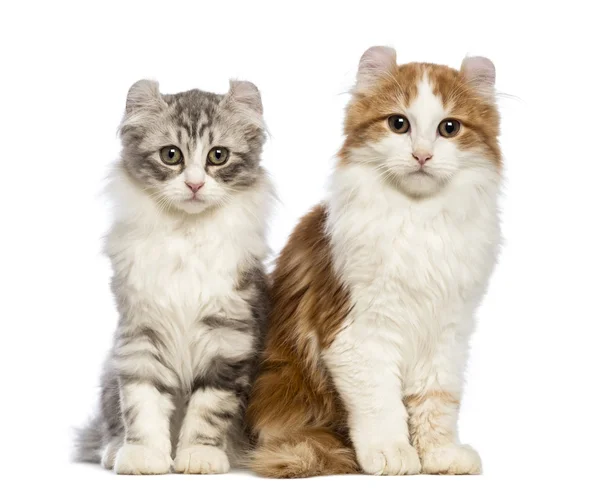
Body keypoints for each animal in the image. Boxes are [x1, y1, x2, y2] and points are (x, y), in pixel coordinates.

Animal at [76, 80, 274, 476]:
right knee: (110, 424)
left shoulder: (227, 338)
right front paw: (144, 456)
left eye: (218, 156)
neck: (186, 233)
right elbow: (142, 403)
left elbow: (209, 409)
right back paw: (113, 450)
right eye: (171, 155)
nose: (195, 184)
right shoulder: (140, 335)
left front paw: (199, 456)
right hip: (110, 370)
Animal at [246, 46, 504, 476]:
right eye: (398, 124)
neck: (418, 218)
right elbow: (380, 403)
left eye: (449, 128)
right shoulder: (359, 332)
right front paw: (391, 452)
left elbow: (437, 403)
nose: (422, 155)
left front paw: (440, 455)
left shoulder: (446, 333)